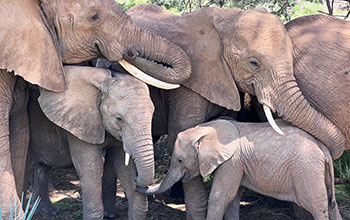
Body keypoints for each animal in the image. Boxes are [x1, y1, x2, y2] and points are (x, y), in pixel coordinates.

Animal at [26, 65, 152, 220]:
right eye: (119, 119)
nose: (138, 180)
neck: (105, 81)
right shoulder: (78, 123)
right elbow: (92, 167)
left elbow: (123, 165)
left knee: (42, 166)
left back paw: (47, 212)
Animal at [137, 120, 342, 220]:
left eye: (180, 160)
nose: (136, 182)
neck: (207, 129)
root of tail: (324, 150)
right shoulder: (239, 165)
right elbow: (233, 198)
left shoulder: (232, 162)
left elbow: (221, 197)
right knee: (331, 205)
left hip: (307, 171)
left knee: (318, 207)